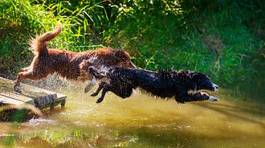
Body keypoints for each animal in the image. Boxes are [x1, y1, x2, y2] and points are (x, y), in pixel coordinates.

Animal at [87, 66, 218, 103]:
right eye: (208, 80)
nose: (217, 86)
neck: (187, 79)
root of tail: (116, 69)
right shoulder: (180, 97)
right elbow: (199, 96)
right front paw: (210, 97)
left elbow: (198, 94)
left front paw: (213, 97)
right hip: (125, 91)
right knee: (105, 86)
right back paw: (99, 98)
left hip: (124, 90)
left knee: (103, 83)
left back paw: (95, 93)